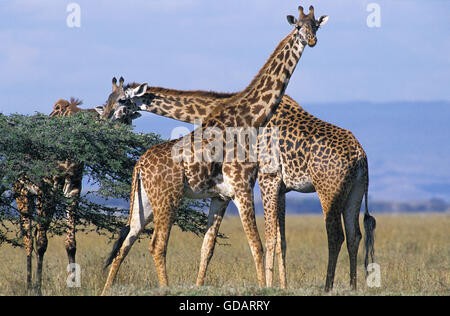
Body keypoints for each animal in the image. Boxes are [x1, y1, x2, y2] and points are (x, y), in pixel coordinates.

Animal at [14, 76, 140, 294]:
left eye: (130, 113)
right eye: (116, 105)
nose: (120, 137)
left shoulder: (73, 189)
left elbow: (71, 243)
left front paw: (73, 285)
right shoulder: (48, 189)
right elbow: (42, 242)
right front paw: (38, 288)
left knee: (32, 236)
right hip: (22, 192)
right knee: (29, 239)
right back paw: (29, 285)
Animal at [103, 7, 374, 292]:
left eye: (315, 26)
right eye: (298, 27)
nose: (103, 118)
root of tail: (361, 155)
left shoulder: (244, 188)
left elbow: (241, 243)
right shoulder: (259, 185)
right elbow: (267, 242)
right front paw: (272, 286)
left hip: (335, 190)